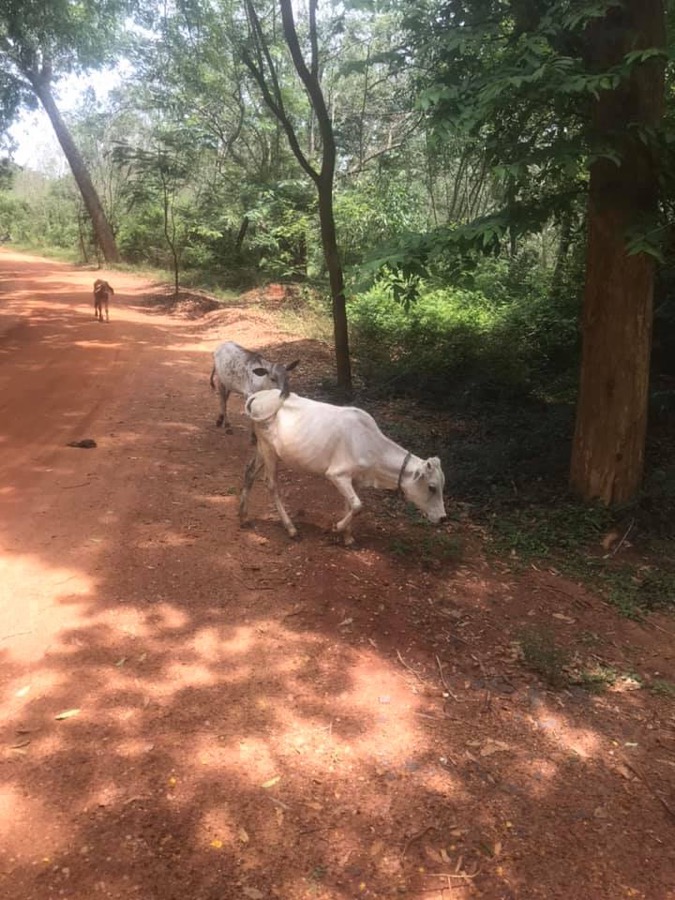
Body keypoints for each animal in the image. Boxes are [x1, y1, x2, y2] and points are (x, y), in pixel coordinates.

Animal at [239, 389, 447, 545]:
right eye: (432, 487)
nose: (443, 518)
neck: (372, 447)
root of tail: (259, 395)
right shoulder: (337, 474)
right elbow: (357, 505)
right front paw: (337, 528)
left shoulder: (354, 479)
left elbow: (350, 505)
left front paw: (347, 537)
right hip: (268, 449)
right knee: (272, 485)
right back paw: (291, 528)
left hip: (262, 449)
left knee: (249, 472)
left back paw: (243, 516)